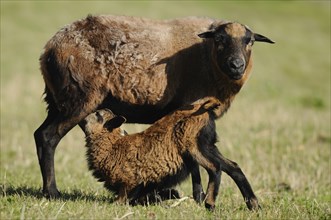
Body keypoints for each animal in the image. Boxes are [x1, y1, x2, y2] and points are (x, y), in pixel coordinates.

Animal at [35, 14, 276, 199]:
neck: (207, 56)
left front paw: (199, 198)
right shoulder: (188, 109)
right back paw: (53, 192)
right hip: (78, 99)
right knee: (48, 137)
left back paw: (47, 190)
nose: (237, 65)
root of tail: (49, 49)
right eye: (220, 39)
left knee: (39, 134)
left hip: (57, 101)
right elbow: (194, 163)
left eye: (250, 41)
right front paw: (199, 197)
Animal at [81, 97, 260, 211]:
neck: (112, 147)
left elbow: (121, 201)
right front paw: (171, 195)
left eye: (98, 115)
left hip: (193, 145)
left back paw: (209, 203)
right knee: (233, 167)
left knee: (215, 168)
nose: (81, 117)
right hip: (208, 145)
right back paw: (254, 205)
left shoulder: (129, 183)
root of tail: (204, 108)